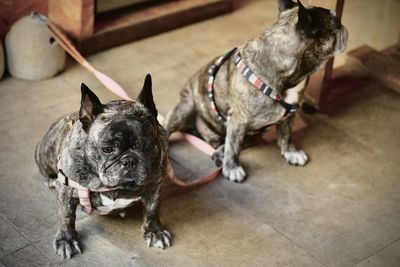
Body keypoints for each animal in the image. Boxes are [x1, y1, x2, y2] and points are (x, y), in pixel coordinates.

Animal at [35, 75, 171, 260]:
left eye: (147, 146)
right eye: (107, 149)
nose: (129, 161)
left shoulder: (154, 187)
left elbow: (152, 210)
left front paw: (155, 232)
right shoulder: (66, 190)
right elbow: (66, 216)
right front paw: (66, 240)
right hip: (44, 155)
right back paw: (50, 180)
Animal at [164, 0, 348, 182]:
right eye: (336, 23)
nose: (344, 26)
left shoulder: (289, 116)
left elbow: (286, 135)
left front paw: (291, 153)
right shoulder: (238, 119)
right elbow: (233, 146)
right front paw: (232, 167)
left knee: (219, 144)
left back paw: (218, 155)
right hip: (185, 107)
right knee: (169, 127)